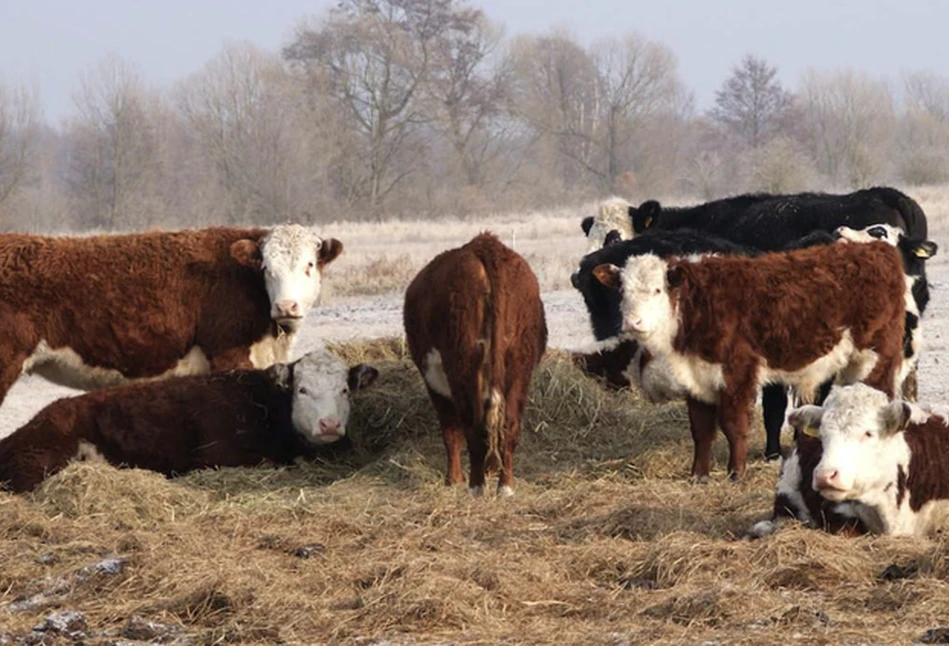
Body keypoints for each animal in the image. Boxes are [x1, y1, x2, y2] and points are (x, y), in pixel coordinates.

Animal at [402, 235, 548, 498]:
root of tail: (486, 247)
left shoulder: (435, 382)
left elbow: (451, 431)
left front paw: (453, 480)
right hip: (519, 362)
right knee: (508, 424)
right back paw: (505, 486)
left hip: (463, 363)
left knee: (474, 426)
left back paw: (476, 487)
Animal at [596, 242, 908, 480]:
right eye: (622, 292)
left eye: (658, 290)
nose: (632, 322)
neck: (697, 305)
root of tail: (876, 248)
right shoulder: (697, 378)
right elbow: (701, 429)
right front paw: (698, 475)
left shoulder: (737, 372)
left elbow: (734, 425)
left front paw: (736, 473)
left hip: (875, 356)